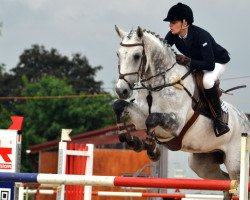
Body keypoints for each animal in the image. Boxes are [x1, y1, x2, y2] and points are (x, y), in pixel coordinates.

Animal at [113, 25, 250, 198]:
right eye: (118, 54)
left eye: (137, 56)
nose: (121, 90)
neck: (157, 84)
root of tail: (246, 119)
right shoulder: (140, 117)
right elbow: (119, 106)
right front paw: (131, 140)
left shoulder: (175, 123)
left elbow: (152, 119)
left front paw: (152, 150)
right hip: (202, 164)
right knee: (225, 183)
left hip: (235, 163)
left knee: (235, 181)